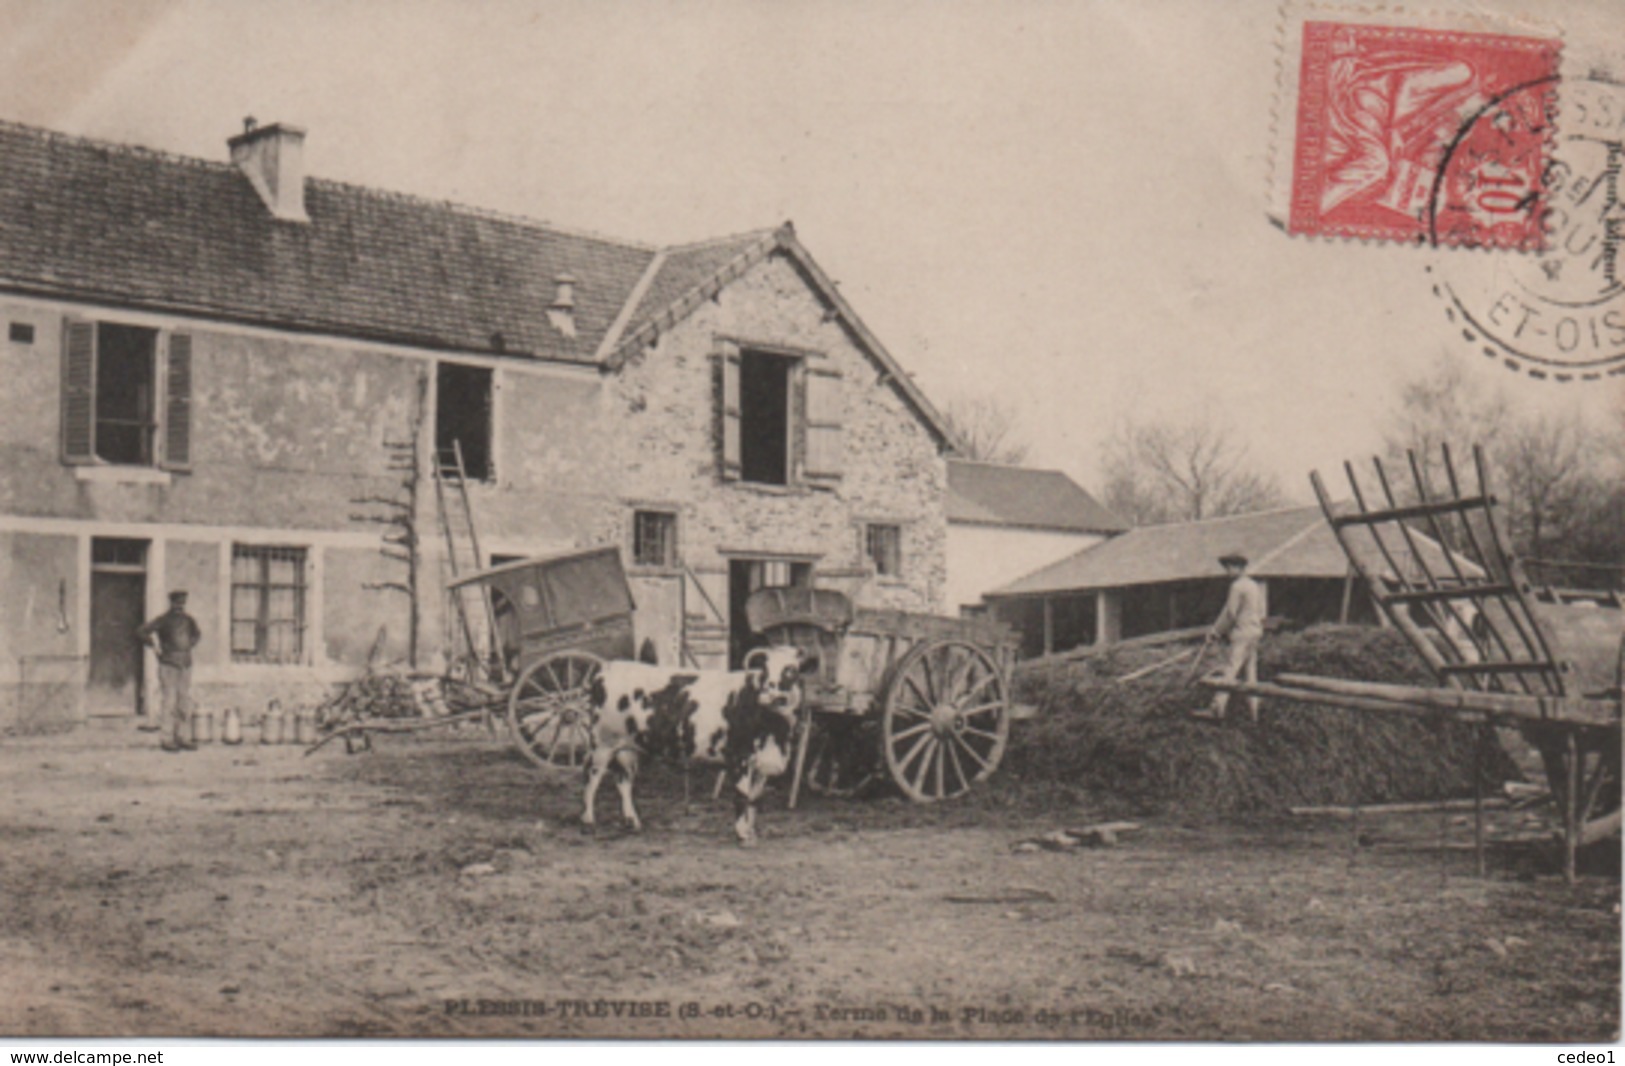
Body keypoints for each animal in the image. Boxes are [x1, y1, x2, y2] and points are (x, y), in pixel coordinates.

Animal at [581, 646, 812, 845]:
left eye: (791, 671)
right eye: (765, 670)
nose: (769, 696)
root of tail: (608, 667)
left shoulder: (762, 764)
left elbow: (753, 800)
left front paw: (751, 832)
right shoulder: (740, 759)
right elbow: (741, 797)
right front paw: (742, 834)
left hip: (629, 748)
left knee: (624, 781)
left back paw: (632, 822)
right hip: (602, 744)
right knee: (592, 778)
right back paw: (588, 821)